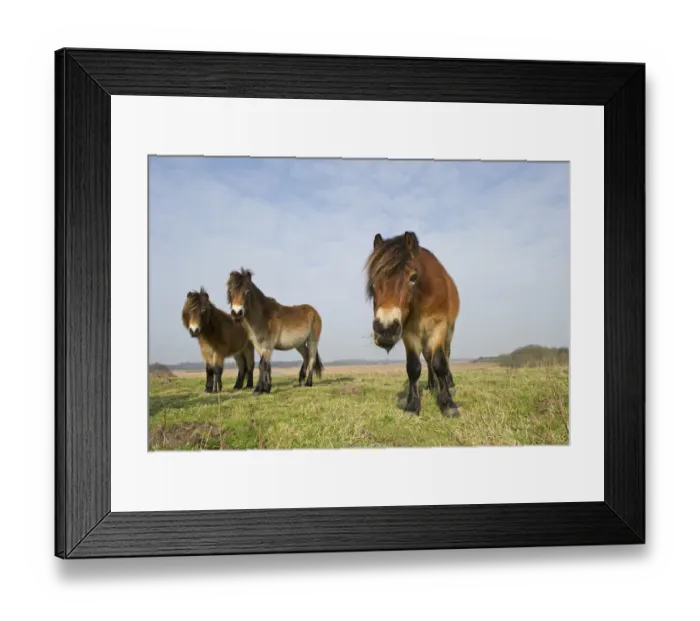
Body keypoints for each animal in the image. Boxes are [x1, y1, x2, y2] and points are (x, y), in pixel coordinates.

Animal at [365, 231, 460, 417]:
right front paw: (412, 404)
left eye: (413, 277)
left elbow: (440, 363)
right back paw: (432, 385)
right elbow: (414, 367)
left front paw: (447, 403)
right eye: (372, 282)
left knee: (445, 355)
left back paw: (449, 384)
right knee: (428, 359)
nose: (385, 329)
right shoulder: (409, 333)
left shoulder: (438, 327)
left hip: (448, 331)